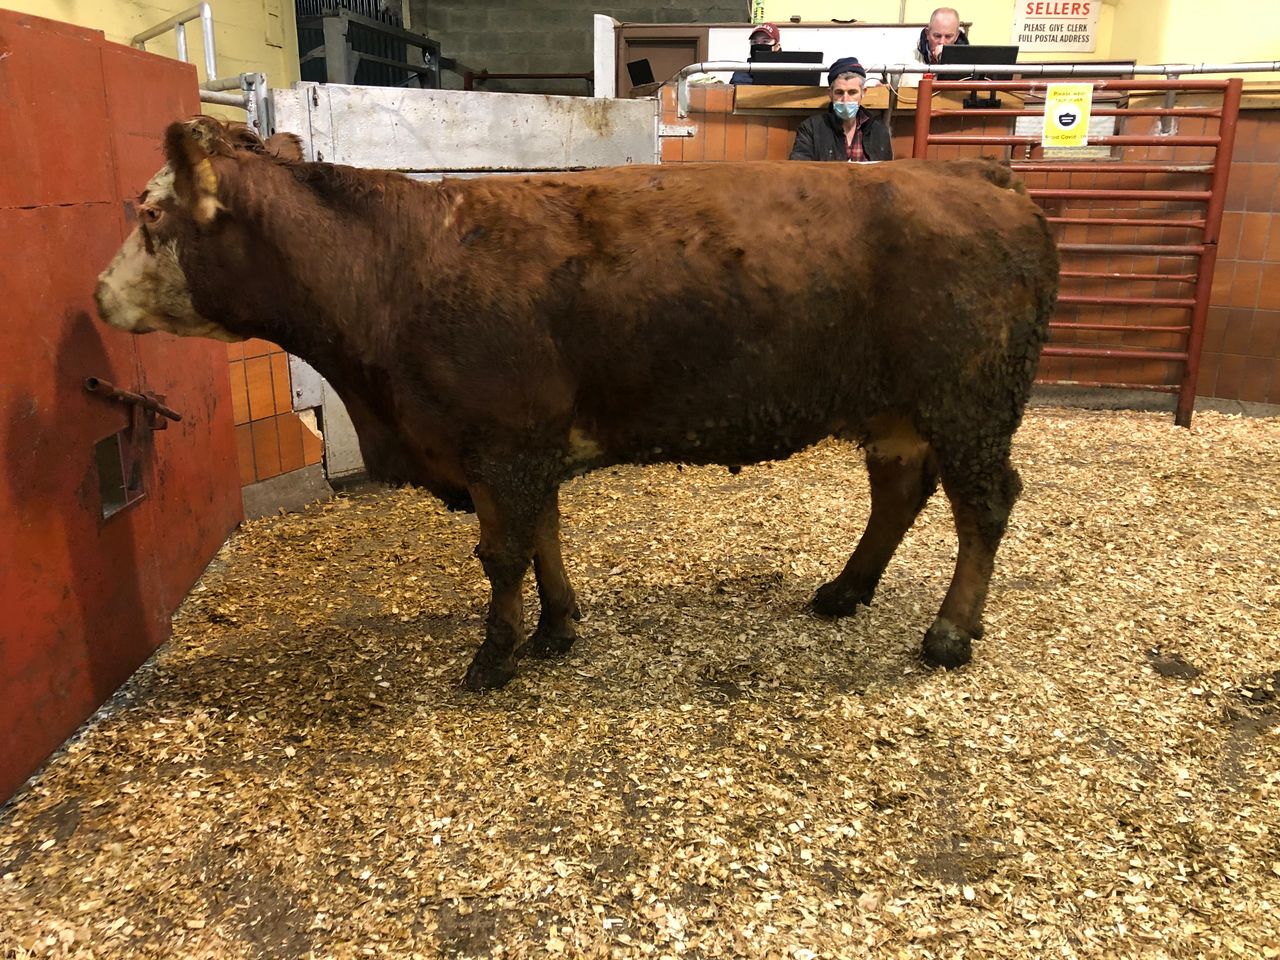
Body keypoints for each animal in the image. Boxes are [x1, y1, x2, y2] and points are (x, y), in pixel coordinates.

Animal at [95, 117, 1059, 691]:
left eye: (151, 215)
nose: (99, 295)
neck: (394, 267)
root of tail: (981, 175)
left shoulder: (501, 443)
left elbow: (502, 554)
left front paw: (493, 656)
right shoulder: (522, 446)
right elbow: (543, 538)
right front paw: (557, 628)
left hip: (971, 402)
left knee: (984, 506)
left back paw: (948, 632)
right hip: (902, 408)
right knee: (899, 493)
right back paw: (846, 589)